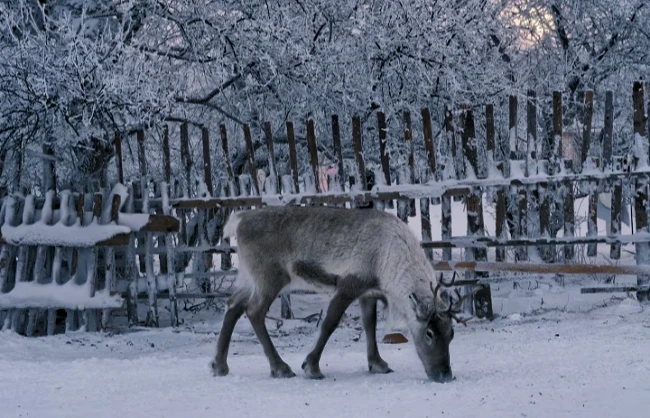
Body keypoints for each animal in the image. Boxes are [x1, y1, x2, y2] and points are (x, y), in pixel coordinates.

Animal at [210, 205, 472, 383]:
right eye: (429, 333)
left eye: (451, 333)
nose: (445, 375)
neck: (388, 262)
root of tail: (239, 221)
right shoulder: (349, 284)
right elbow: (329, 323)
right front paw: (311, 366)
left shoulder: (369, 292)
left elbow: (369, 324)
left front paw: (377, 363)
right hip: (270, 277)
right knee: (253, 311)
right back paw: (280, 367)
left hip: (249, 277)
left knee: (233, 304)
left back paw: (219, 365)